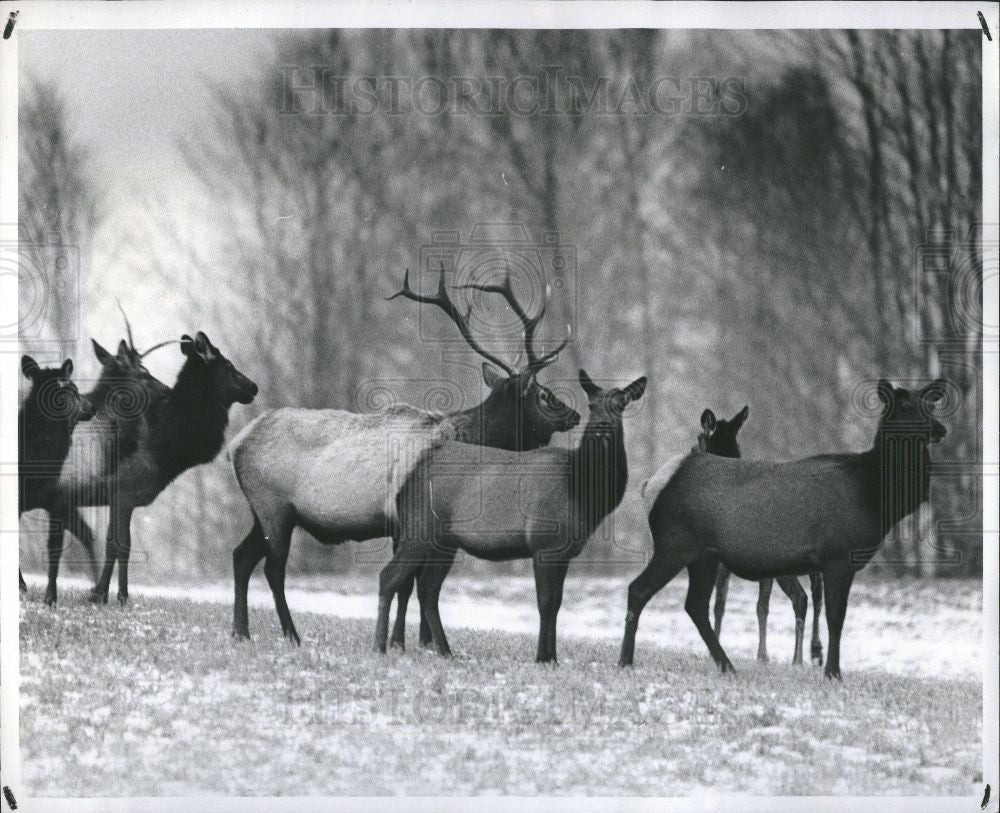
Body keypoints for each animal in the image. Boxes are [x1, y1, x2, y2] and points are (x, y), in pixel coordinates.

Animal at [18, 356, 95, 596]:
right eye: (76, 389)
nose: (92, 405)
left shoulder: (55, 499)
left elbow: (55, 549)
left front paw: (49, 596)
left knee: (86, 534)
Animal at [230, 266, 580, 648]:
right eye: (544, 394)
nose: (574, 414)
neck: (470, 436)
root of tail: (236, 444)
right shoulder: (407, 519)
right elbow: (409, 585)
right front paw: (404, 641)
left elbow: (409, 585)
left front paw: (416, 640)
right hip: (274, 507)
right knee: (272, 568)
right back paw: (290, 634)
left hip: (263, 512)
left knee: (241, 557)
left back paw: (241, 631)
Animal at [376, 372, 648, 664]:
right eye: (591, 405)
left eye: (621, 405)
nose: (602, 428)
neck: (582, 493)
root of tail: (404, 481)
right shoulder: (544, 543)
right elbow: (546, 603)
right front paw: (542, 658)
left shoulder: (563, 552)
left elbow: (556, 603)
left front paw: (552, 657)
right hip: (419, 529)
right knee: (389, 576)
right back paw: (380, 646)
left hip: (444, 541)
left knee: (427, 588)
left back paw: (445, 650)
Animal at [620, 380, 948, 680]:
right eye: (904, 406)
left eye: (930, 405)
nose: (940, 429)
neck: (875, 497)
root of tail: (651, 483)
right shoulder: (838, 555)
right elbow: (836, 617)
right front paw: (833, 673)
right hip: (675, 542)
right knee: (640, 589)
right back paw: (626, 661)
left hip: (704, 555)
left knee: (695, 604)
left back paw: (727, 665)